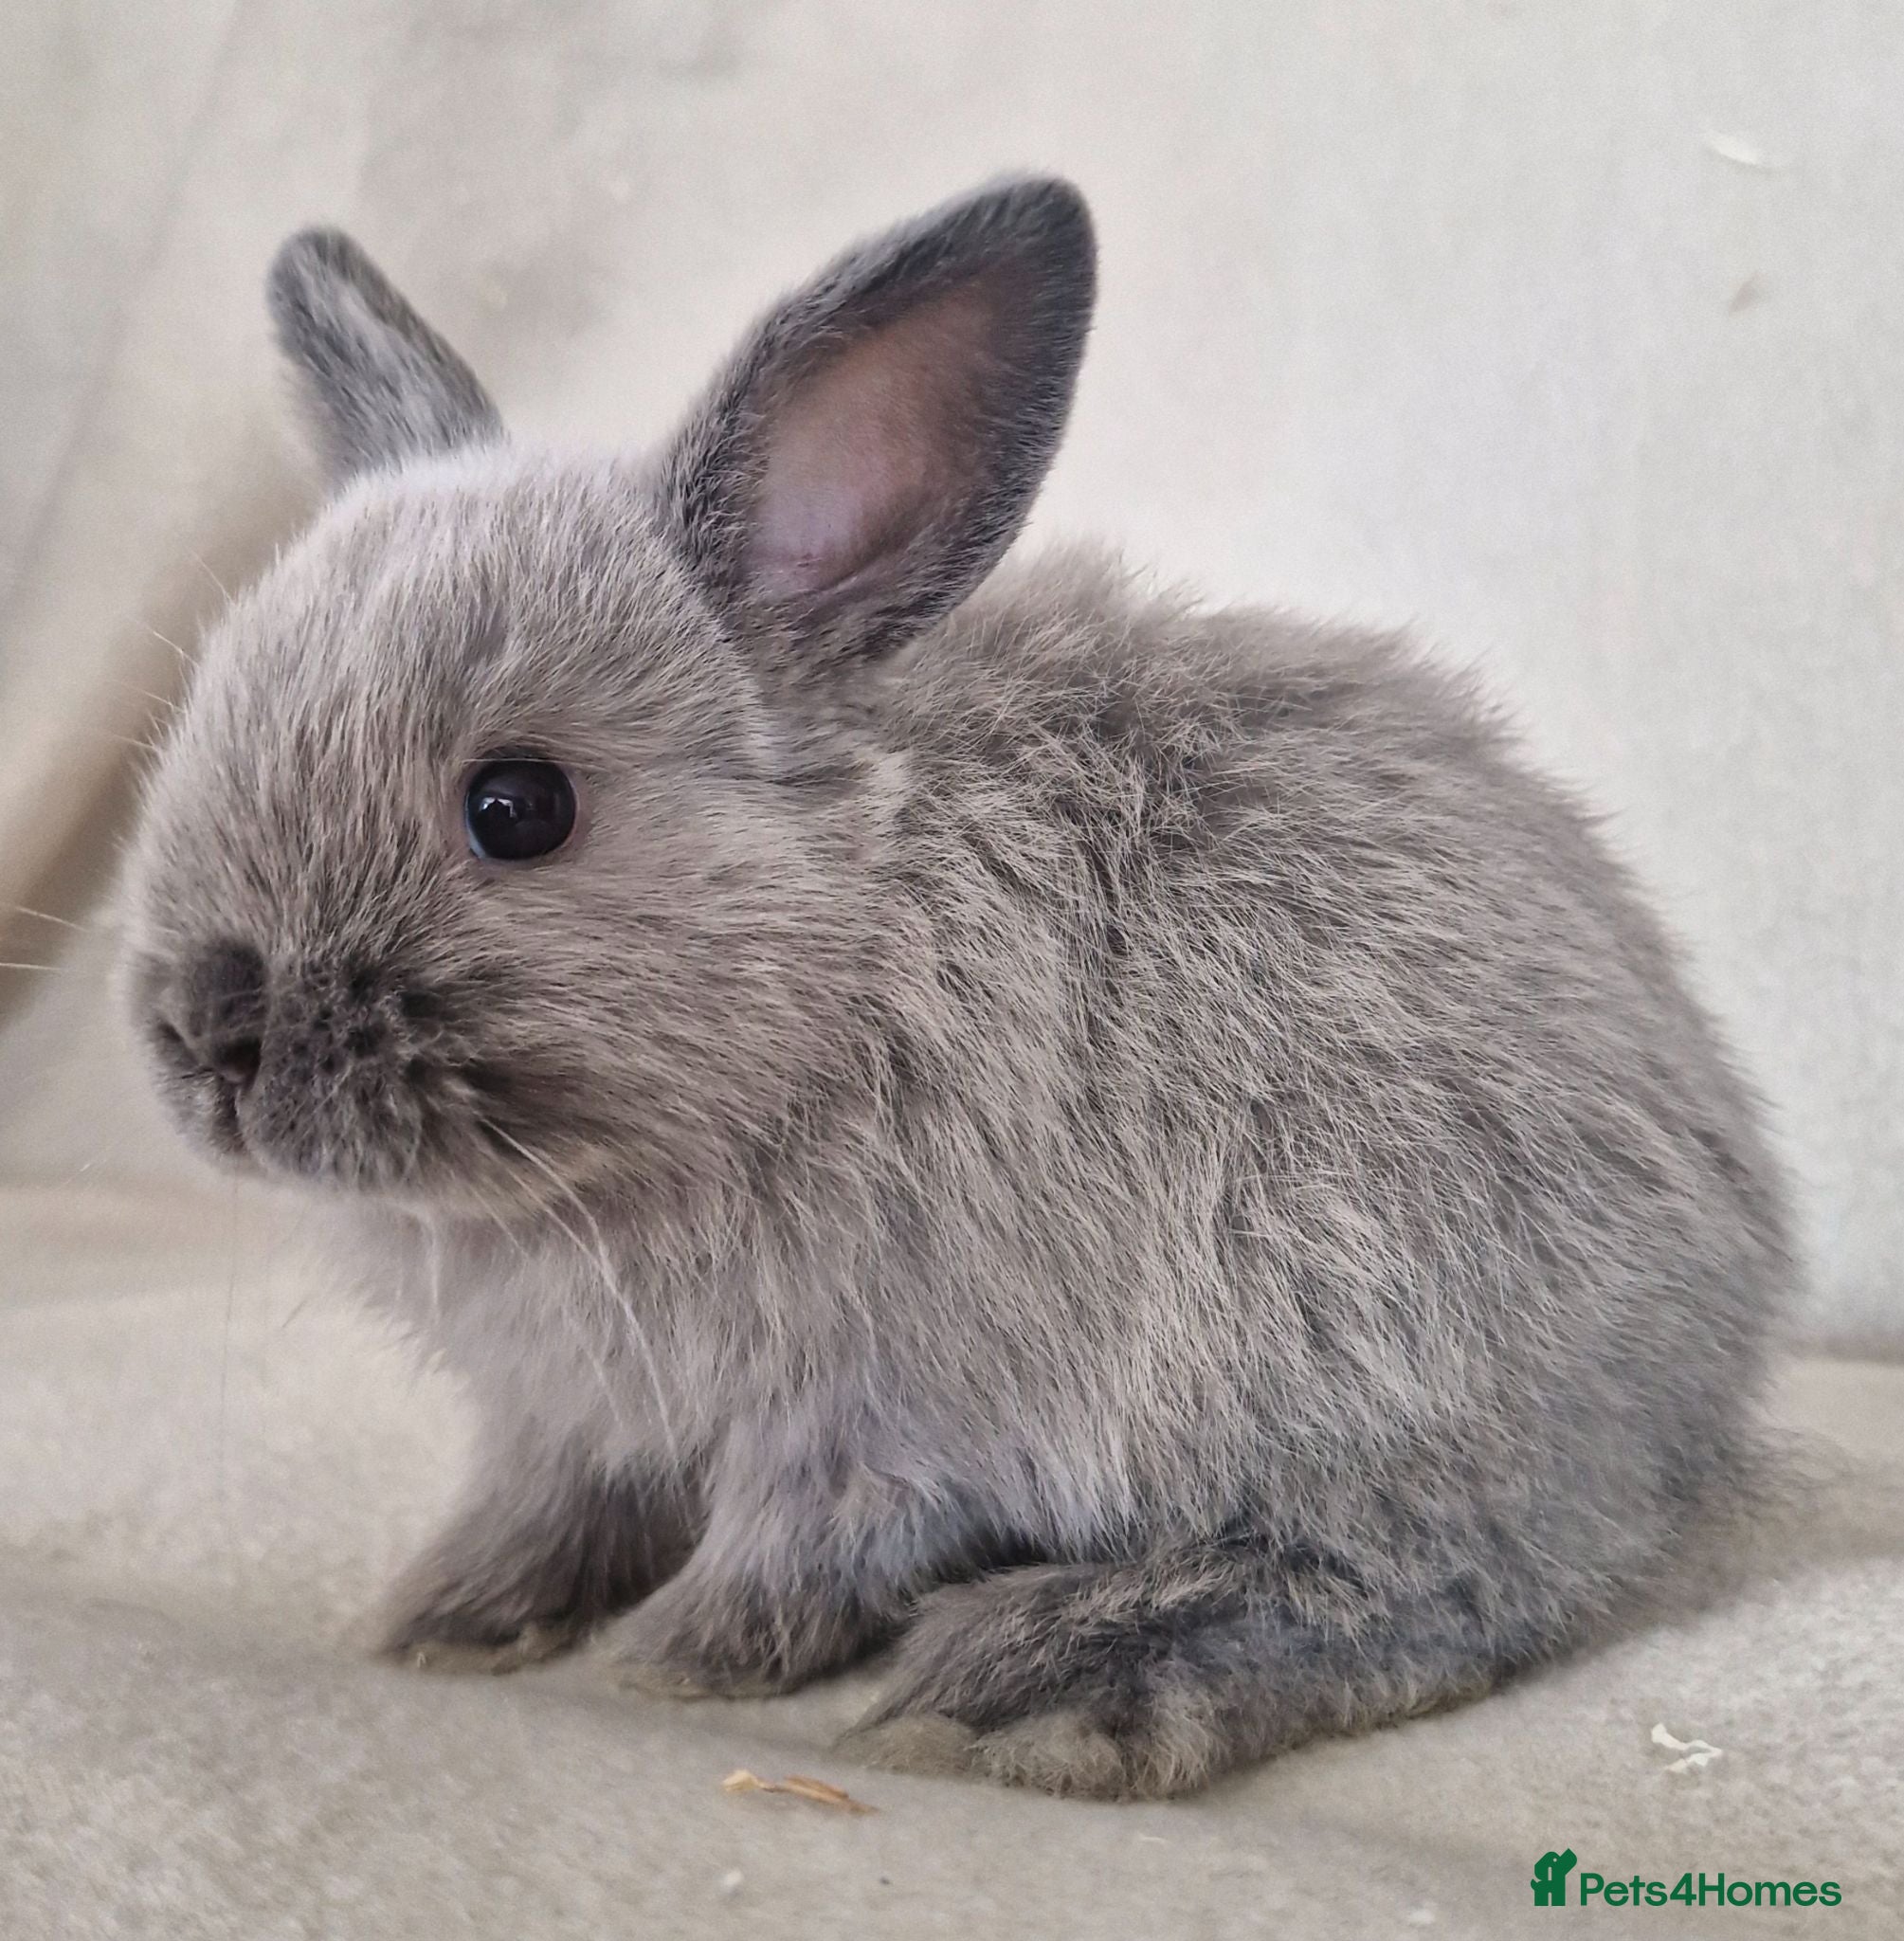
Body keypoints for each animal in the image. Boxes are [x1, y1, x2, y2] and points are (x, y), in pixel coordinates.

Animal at [121, 177, 1795, 1799]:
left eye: (519, 808)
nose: (207, 1033)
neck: (836, 950)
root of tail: (1721, 1330)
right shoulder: (576, 1425)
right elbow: (542, 1510)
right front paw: (447, 1620)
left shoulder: (871, 1420)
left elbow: (797, 1549)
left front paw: (677, 1659)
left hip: (1365, 1351)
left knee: (1436, 1587)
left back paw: (1036, 1684)